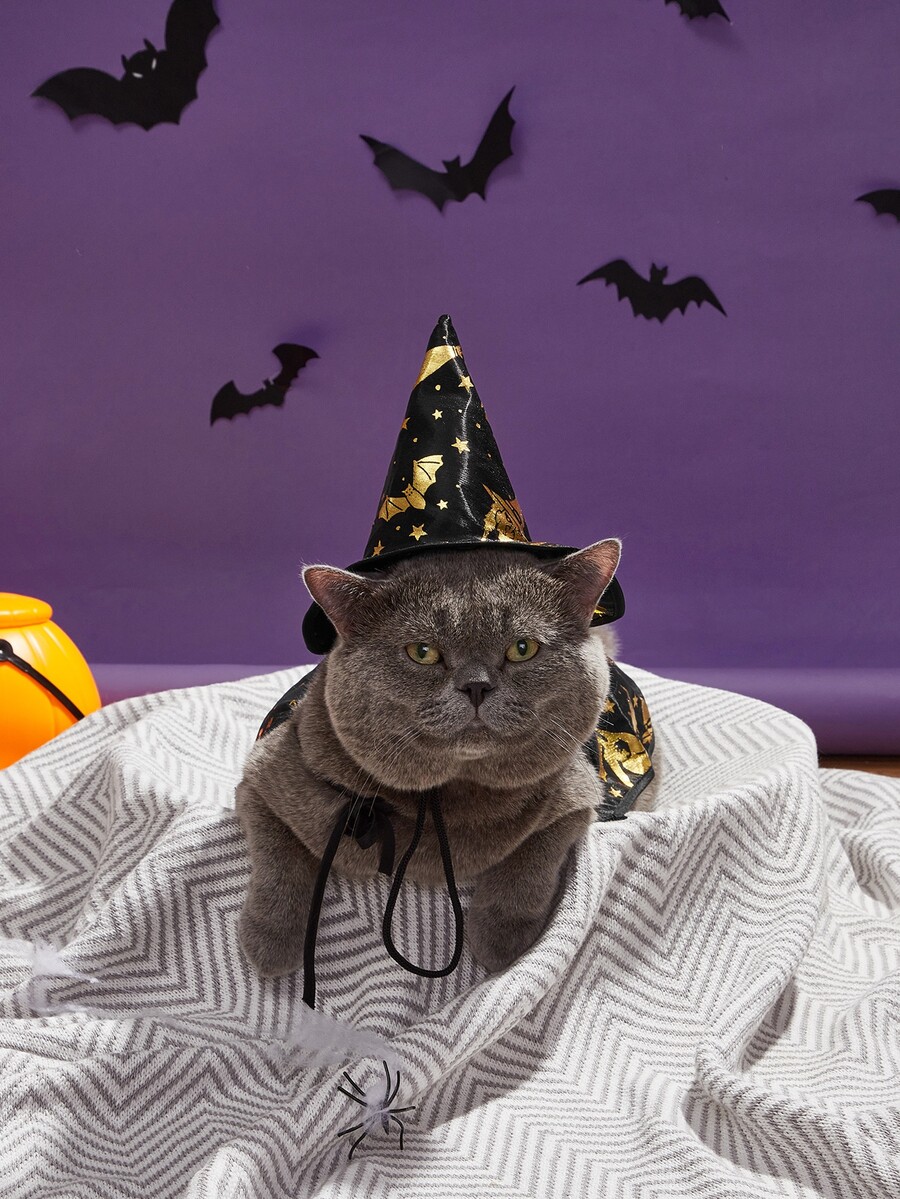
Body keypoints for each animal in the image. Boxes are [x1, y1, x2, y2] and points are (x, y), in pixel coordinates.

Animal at [236, 538, 623, 979]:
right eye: (422, 652)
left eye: (522, 648)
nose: (476, 685)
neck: (449, 799)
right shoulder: (264, 776)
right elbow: (279, 857)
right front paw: (269, 942)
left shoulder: (576, 795)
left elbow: (534, 855)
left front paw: (500, 938)